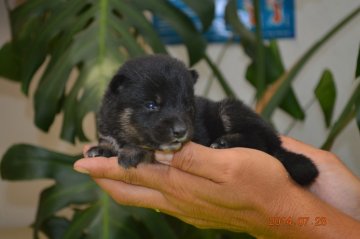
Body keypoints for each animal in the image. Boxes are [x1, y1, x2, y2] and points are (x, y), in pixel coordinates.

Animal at [87, 54, 318, 187]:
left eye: (187, 104)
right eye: (151, 105)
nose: (181, 131)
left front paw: (132, 152)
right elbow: (108, 140)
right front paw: (101, 148)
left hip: (229, 109)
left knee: (261, 142)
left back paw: (225, 142)